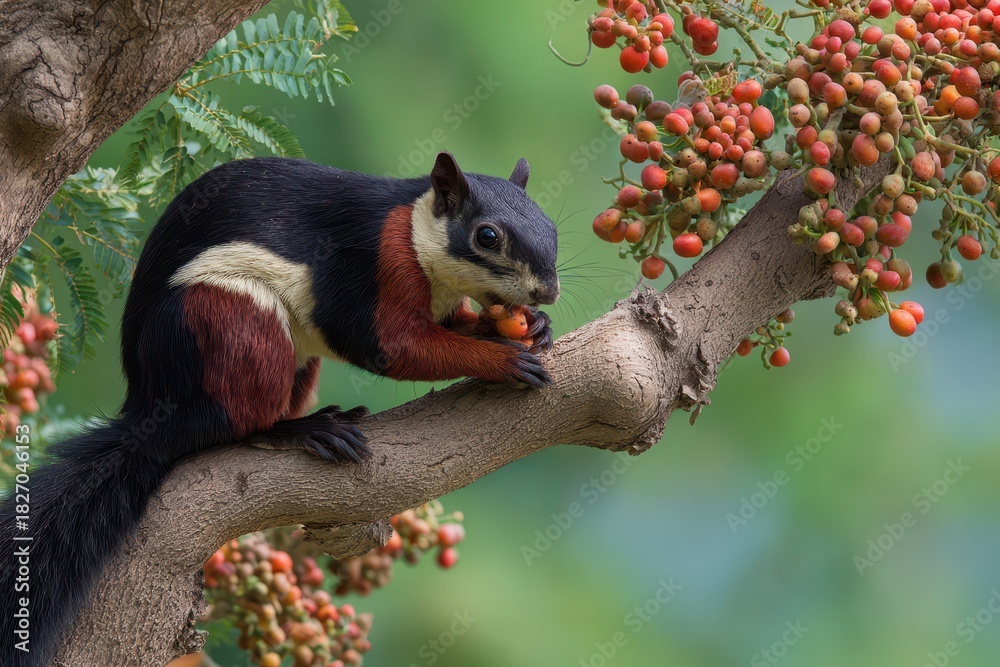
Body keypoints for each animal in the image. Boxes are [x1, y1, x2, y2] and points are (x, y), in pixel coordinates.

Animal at [0, 151, 559, 666]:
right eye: (487, 236)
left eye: (552, 226)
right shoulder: (369, 265)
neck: (416, 231)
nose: (547, 290)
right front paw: (502, 358)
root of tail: (151, 412)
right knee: (236, 424)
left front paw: (531, 326)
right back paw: (302, 430)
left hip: (295, 358)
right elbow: (389, 346)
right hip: (235, 321)